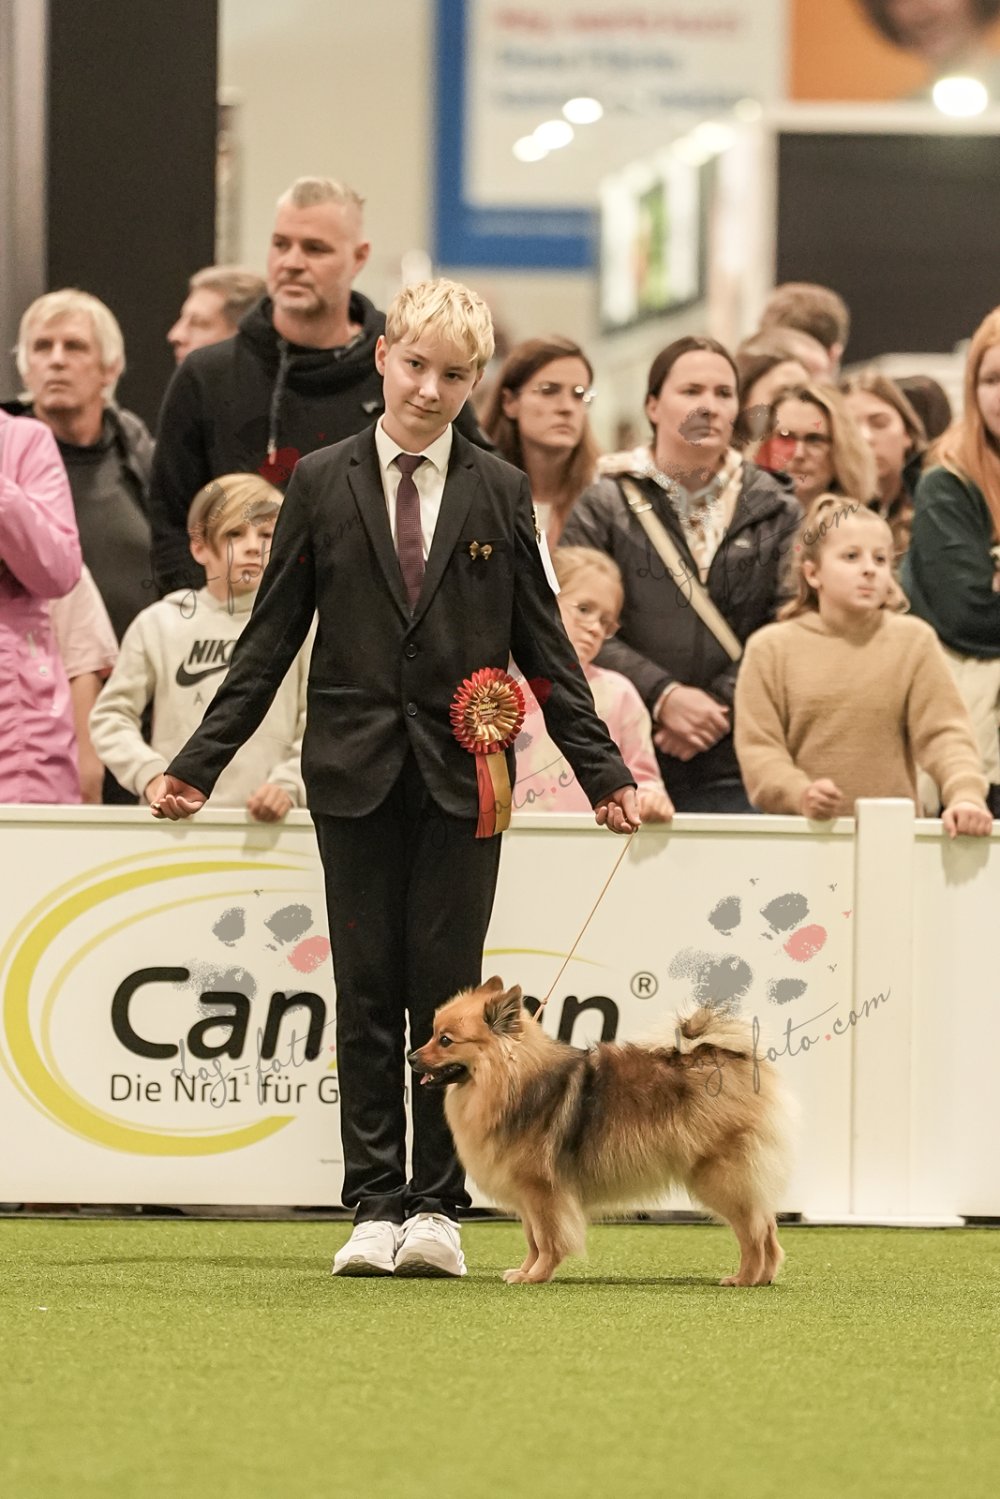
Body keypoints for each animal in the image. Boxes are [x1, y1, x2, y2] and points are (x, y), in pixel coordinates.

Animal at [408, 977, 794, 1286]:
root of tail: (729, 1056)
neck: (510, 1081)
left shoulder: (543, 1191)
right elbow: (533, 1239)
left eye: (445, 1040)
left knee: (753, 1232)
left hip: (719, 1177)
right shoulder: (529, 1196)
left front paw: (536, 1275)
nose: (411, 1057)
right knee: (767, 1229)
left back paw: (744, 1278)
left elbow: (547, 1239)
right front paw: (526, 1270)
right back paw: (763, 1277)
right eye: (432, 1034)